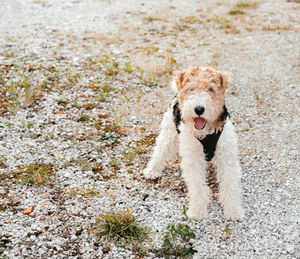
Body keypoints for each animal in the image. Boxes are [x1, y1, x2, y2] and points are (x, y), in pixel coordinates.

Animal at [144, 66, 245, 221]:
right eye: (191, 89)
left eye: (211, 89)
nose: (199, 109)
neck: (206, 132)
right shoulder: (193, 158)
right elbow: (197, 186)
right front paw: (198, 210)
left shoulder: (226, 157)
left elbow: (230, 184)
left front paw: (233, 211)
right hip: (169, 134)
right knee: (160, 152)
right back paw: (151, 171)